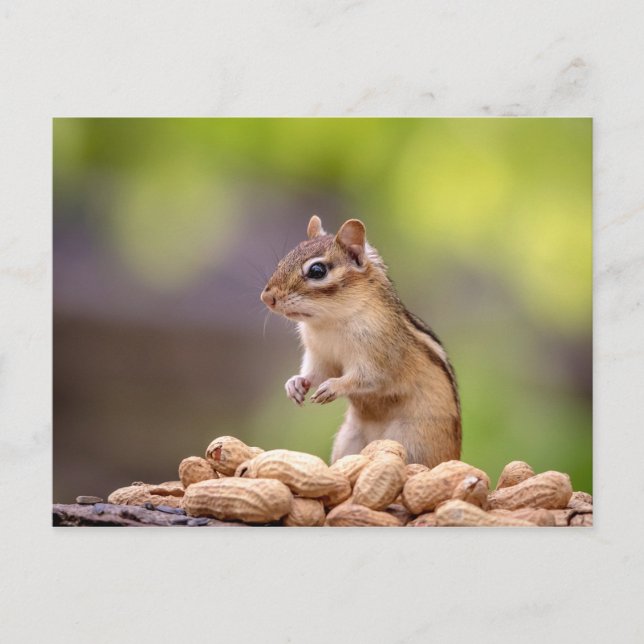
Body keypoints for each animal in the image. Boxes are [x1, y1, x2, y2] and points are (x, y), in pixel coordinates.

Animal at [260, 215, 461, 468]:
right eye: (282, 262)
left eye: (317, 270)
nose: (267, 297)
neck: (329, 322)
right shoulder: (320, 356)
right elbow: (316, 373)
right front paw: (295, 383)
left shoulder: (380, 356)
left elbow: (368, 378)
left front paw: (334, 387)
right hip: (348, 440)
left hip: (413, 441)